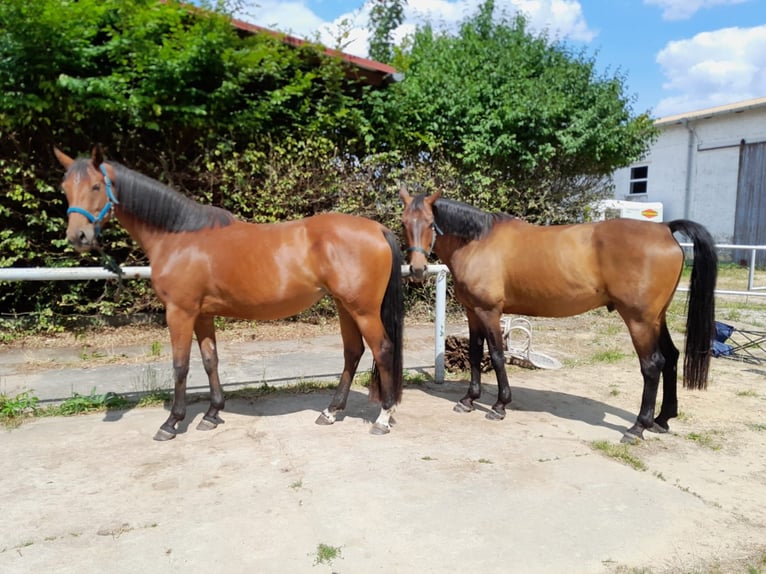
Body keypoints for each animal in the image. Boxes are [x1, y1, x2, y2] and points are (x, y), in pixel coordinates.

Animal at [53, 147, 404, 440]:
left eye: (96, 187)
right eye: (65, 188)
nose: (77, 236)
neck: (178, 235)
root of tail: (378, 228)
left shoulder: (180, 312)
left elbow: (180, 365)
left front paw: (172, 422)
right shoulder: (202, 314)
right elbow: (211, 360)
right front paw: (211, 414)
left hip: (364, 310)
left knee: (383, 350)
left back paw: (383, 419)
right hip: (345, 306)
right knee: (353, 352)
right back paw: (330, 412)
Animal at [402, 187, 720, 444]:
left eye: (430, 223)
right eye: (405, 222)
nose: (417, 270)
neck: (477, 241)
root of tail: (665, 229)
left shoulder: (489, 312)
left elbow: (497, 355)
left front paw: (500, 405)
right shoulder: (473, 312)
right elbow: (474, 353)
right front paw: (469, 399)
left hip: (639, 321)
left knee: (652, 365)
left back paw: (637, 427)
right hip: (656, 318)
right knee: (672, 357)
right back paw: (662, 420)